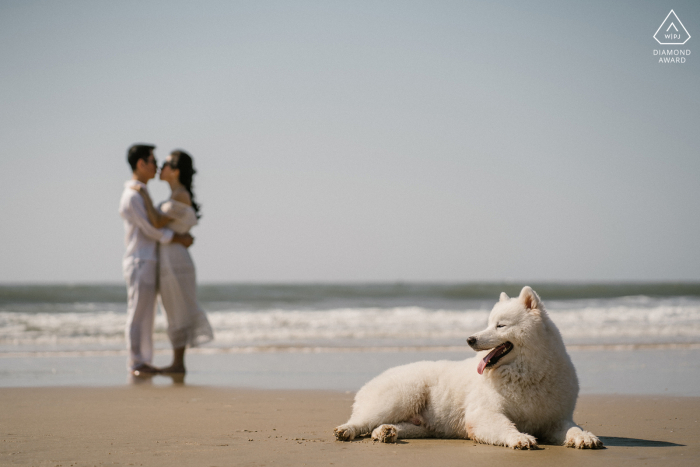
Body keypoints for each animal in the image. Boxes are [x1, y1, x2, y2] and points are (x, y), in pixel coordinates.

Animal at [334, 288, 600, 452]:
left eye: (500, 325)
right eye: (488, 323)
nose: (470, 339)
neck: (527, 373)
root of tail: (370, 381)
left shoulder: (555, 420)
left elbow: (574, 428)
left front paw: (585, 437)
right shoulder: (483, 414)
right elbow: (506, 426)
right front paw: (519, 438)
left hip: (423, 425)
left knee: (387, 427)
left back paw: (386, 432)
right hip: (400, 397)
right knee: (361, 421)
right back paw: (347, 431)